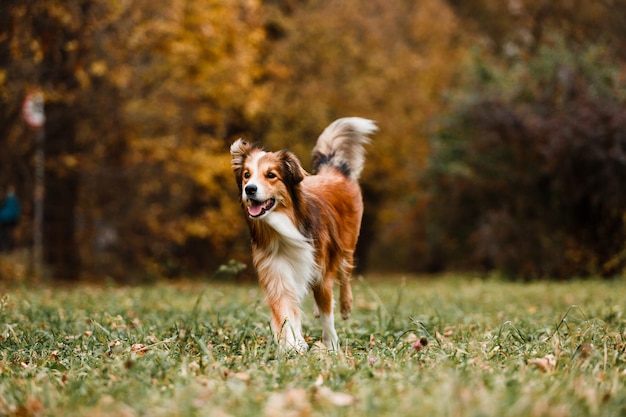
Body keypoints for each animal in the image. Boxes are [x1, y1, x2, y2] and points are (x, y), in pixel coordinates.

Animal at [229, 117, 376, 352]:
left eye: (271, 175)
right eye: (246, 175)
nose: (249, 189)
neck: (284, 223)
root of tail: (332, 172)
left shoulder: (321, 270)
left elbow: (327, 314)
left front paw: (331, 345)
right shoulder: (277, 271)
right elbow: (286, 311)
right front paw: (292, 344)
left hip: (346, 246)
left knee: (344, 276)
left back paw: (345, 307)